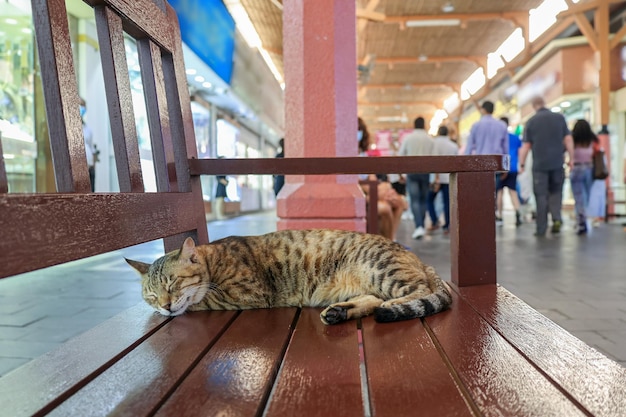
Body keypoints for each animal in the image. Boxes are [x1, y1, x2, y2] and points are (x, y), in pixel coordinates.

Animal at [125, 229, 448, 324]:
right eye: (151, 295)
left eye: (174, 283)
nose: (165, 305)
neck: (213, 259)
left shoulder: (247, 293)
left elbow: (200, 301)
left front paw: (180, 307)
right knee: (371, 300)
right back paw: (340, 312)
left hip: (382, 269)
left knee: (419, 290)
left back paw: (392, 306)